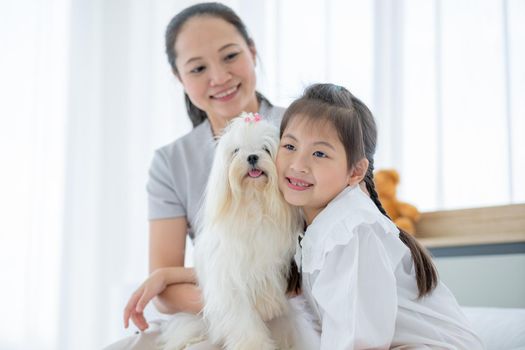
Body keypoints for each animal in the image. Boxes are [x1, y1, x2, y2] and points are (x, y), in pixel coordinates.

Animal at [158, 113, 318, 348]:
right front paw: (255, 345)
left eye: (265, 148)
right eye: (236, 151)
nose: (251, 157)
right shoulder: (228, 281)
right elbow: (243, 320)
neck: (253, 203)